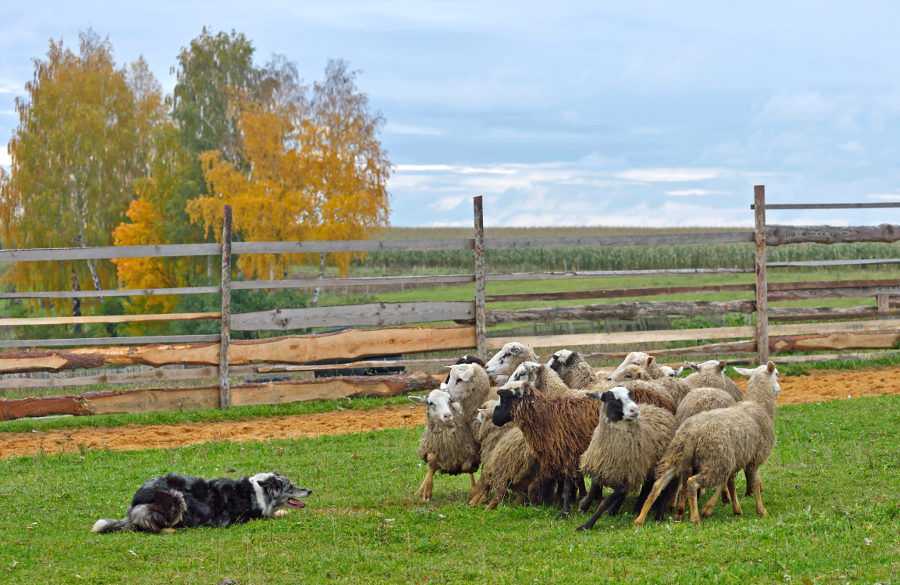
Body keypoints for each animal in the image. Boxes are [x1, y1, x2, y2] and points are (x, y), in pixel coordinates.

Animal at [488, 380, 600, 516]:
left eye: (504, 398)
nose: (494, 419)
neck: (546, 417)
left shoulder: (567, 452)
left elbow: (566, 485)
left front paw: (564, 512)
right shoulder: (553, 453)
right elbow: (548, 479)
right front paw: (540, 503)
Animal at [572, 388, 680, 528]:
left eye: (630, 395)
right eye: (611, 398)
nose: (635, 409)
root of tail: (662, 410)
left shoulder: (627, 480)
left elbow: (605, 502)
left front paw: (586, 525)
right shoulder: (599, 463)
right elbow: (595, 481)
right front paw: (584, 505)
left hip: (665, 463)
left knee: (664, 488)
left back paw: (658, 516)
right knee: (648, 485)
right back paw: (631, 509)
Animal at [632, 360, 780, 524]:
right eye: (777, 374)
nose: (779, 390)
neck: (759, 405)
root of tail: (691, 434)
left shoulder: (734, 460)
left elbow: (729, 481)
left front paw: (729, 508)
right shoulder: (755, 458)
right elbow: (751, 481)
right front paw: (760, 510)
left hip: (678, 456)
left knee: (658, 485)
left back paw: (642, 518)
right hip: (715, 462)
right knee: (691, 482)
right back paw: (695, 517)